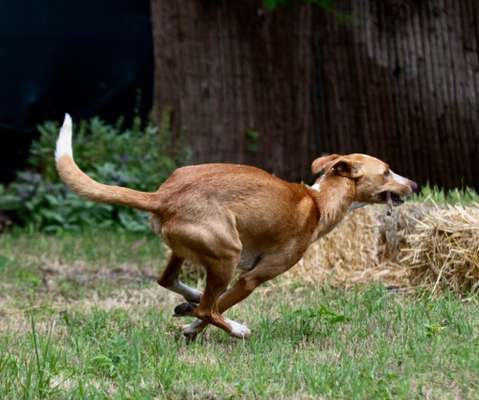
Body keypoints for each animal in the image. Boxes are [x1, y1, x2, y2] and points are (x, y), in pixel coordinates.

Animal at [55, 114, 416, 340]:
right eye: (387, 171)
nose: (413, 184)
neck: (317, 202)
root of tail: (164, 197)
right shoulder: (251, 279)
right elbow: (216, 307)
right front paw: (192, 330)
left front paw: (186, 314)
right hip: (227, 254)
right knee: (208, 307)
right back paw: (235, 328)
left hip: (184, 251)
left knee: (170, 281)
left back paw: (190, 298)